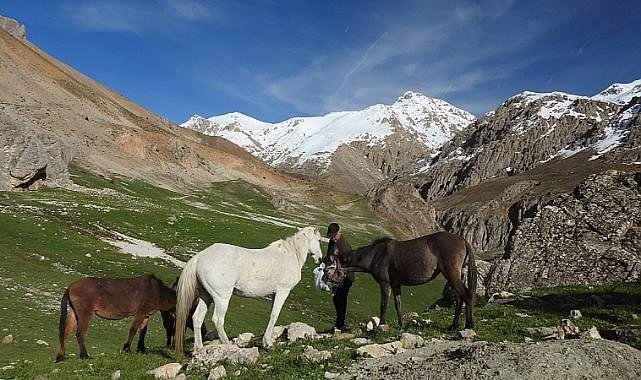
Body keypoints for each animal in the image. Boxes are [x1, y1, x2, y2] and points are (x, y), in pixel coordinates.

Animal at [174, 226, 322, 354]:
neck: (291, 255)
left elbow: (271, 315)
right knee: (218, 320)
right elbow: (274, 315)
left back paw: (198, 349)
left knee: (197, 318)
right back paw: (229, 346)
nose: (320, 259)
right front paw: (268, 344)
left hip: (206, 296)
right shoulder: (283, 291)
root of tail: (200, 256)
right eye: (320, 240)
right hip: (221, 297)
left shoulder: (274, 294)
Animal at [332, 230, 472, 332]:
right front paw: (401, 325)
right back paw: (454, 326)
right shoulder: (396, 285)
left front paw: (381, 325)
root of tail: (462, 240)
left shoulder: (385, 283)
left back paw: (469, 325)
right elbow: (398, 305)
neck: (375, 255)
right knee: (459, 298)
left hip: (451, 275)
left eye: (333, 267)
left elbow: (384, 305)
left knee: (466, 295)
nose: (331, 282)